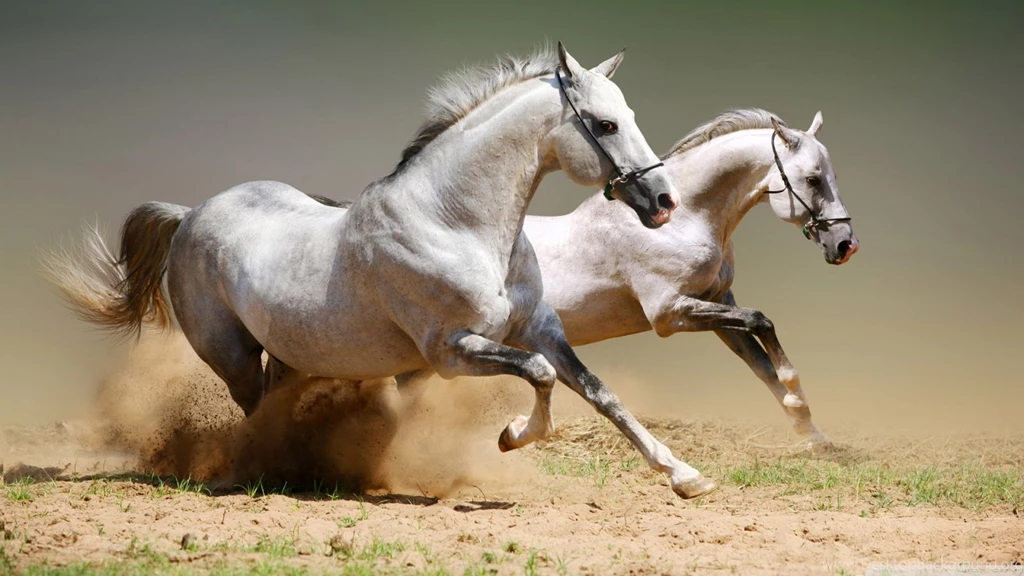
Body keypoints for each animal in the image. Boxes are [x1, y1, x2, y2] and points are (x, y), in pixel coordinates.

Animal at [45, 43, 721, 499]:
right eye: (605, 124)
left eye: (628, 114)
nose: (663, 201)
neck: (455, 223)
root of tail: (190, 215)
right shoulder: (451, 351)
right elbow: (540, 376)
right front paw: (511, 435)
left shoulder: (539, 329)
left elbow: (599, 392)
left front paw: (685, 476)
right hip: (231, 355)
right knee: (254, 411)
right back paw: (261, 470)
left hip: (289, 352)